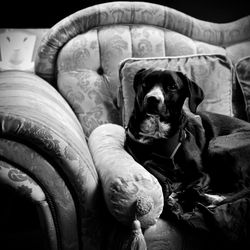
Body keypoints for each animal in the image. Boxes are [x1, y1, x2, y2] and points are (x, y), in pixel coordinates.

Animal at [125, 67, 250, 249]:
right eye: (145, 83)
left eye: (172, 86)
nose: (152, 99)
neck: (159, 138)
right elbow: (150, 164)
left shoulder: (203, 174)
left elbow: (190, 188)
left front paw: (180, 198)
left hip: (217, 144)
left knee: (242, 186)